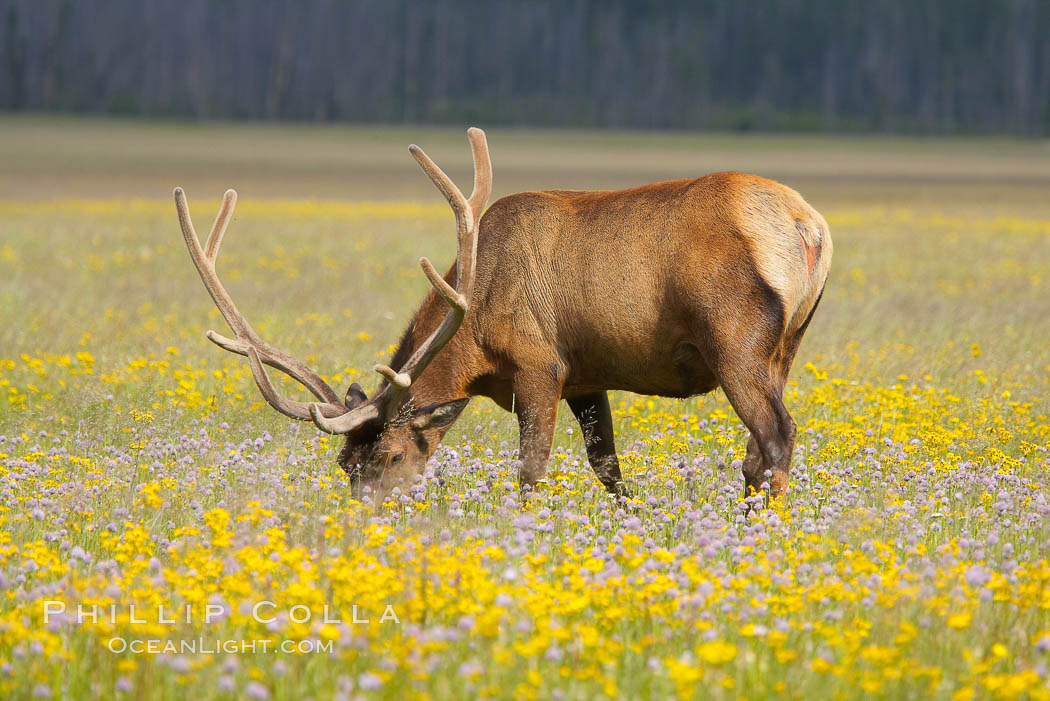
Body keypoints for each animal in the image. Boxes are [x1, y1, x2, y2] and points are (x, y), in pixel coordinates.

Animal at [176, 127, 831, 503]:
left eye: (393, 456)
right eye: (345, 464)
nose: (364, 522)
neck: (475, 342)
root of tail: (808, 225)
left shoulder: (541, 364)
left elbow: (531, 469)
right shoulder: (586, 375)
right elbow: (608, 468)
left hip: (735, 341)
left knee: (776, 436)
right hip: (786, 346)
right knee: (756, 452)